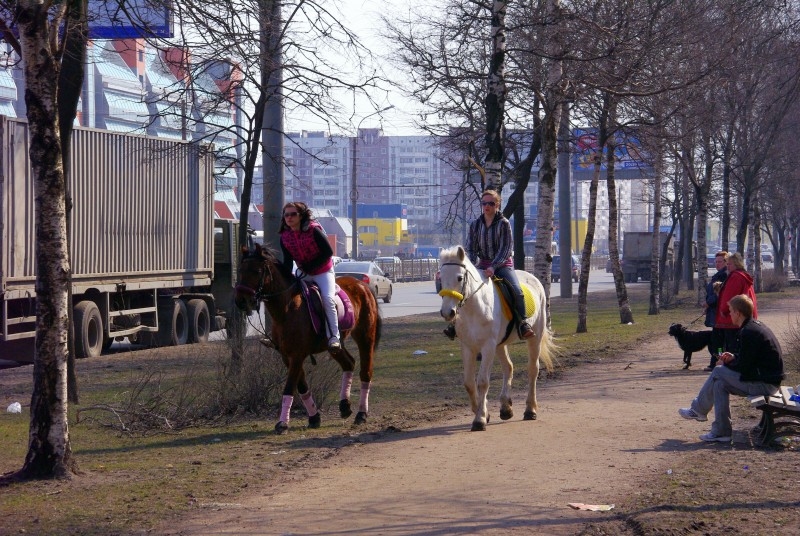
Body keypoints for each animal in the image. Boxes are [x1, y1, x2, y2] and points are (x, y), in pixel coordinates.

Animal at [233, 245, 382, 434]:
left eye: (257, 271)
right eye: (241, 270)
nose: (241, 301)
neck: (287, 309)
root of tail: (363, 286)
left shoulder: (297, 355)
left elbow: (289, 387)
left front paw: (282, 423)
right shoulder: (287, 356)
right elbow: (301, 386)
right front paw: (314, 417)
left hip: (365, 337)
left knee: (366, 371)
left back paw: (361, 414)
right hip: (335, 346)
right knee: (348, 363)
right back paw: (344, 406)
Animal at [438, 246, 556, 432]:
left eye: (459, 277)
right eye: (441, 278)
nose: (447, 312)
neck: (475, 308)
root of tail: (533, 278)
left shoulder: (488, 346)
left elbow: (482, 381)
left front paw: (479, 419)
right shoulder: (468, 347)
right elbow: (469, 383)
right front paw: (484, 413)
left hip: (534, 338)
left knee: (533, 370)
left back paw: (530, 410)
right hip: (500, 345)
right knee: (509, 367)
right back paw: (506, 408)